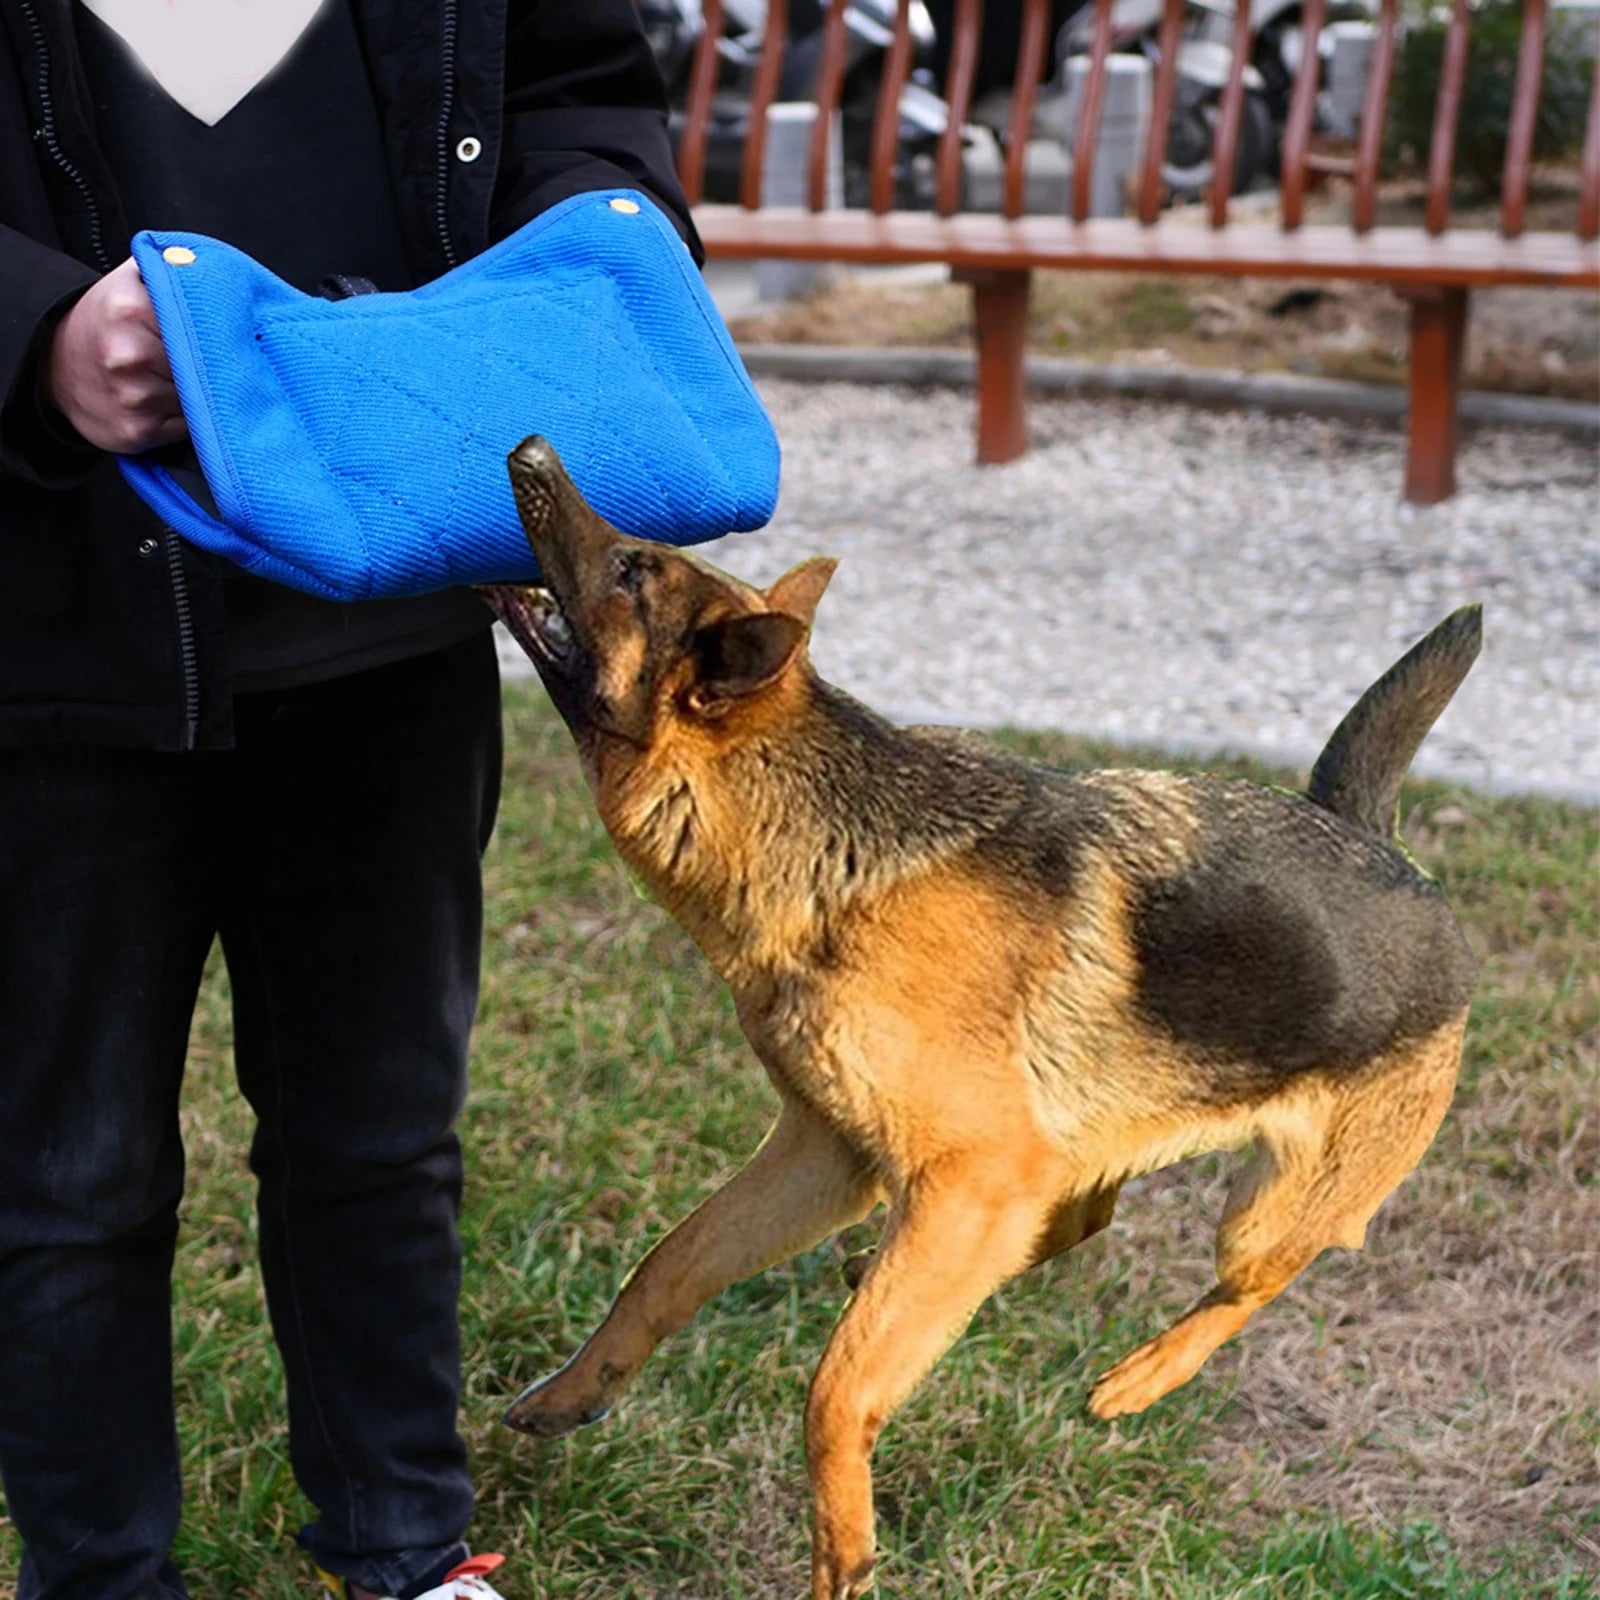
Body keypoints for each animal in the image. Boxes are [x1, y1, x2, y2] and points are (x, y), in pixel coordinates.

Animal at [480, 438, 1478, 1600]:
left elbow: (834, 1389)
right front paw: (577, 1391)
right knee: (1082, 1216)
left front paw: (843, 1546)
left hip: (1261, 1215)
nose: (530, 449)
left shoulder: (967, 1173)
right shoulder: (830, 1153)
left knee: (1241, 1284)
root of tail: (1386, 849)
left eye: (633, 568)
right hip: (1071, 1148)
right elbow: (668, 1267)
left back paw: (1138, 1379)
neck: (821, 840)